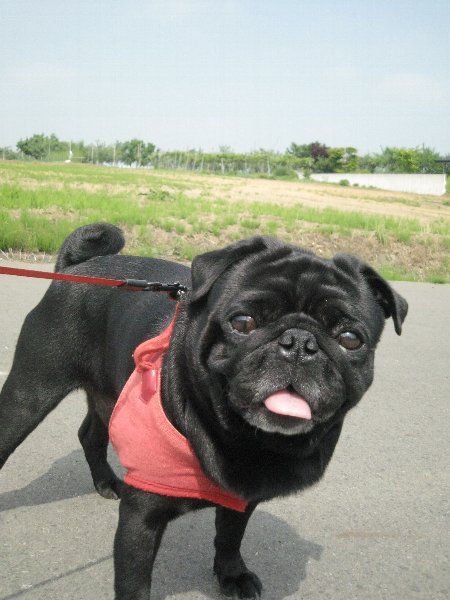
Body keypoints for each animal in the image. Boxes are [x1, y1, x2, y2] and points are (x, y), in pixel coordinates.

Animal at [0, 223, 407, 599]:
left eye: (350, 339)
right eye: (243, 322)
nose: (299, 342)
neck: (242, 439)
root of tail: (77, 265)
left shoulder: (243, 497)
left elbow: (229, 536)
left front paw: (231, 574)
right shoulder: (141, 518)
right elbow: (134, 581)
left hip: (107, 397)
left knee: (91, 436)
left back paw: (106, 483)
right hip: (30, 394)